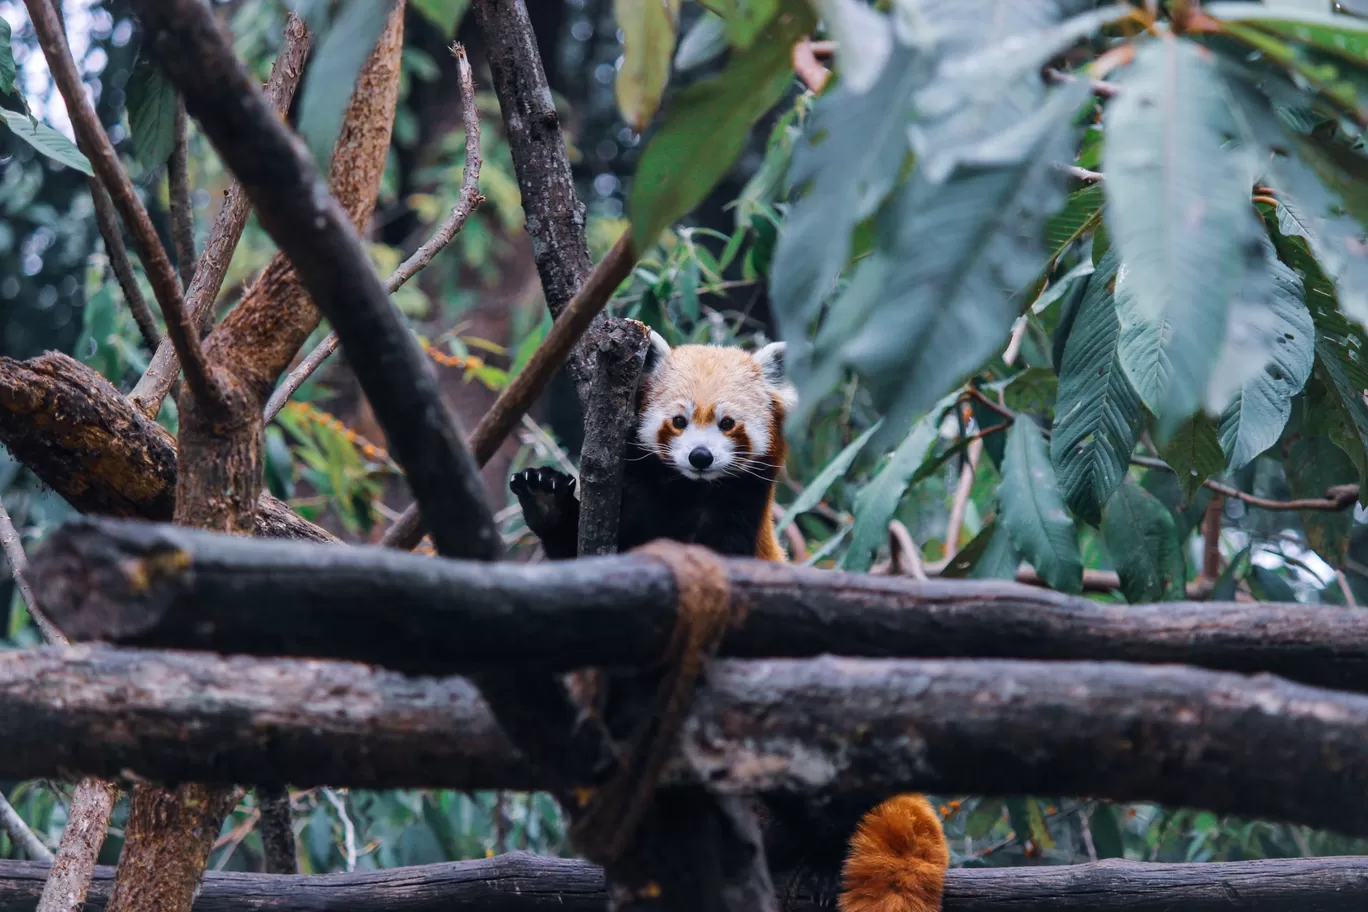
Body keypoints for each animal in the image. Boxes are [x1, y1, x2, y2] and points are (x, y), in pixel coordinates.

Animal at [508, 332, 946, 912]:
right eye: (677, 421)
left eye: (727, 423)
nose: (700, 456)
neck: (690, 496)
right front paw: (547, 503)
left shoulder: (739, 522)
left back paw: (822, 858)